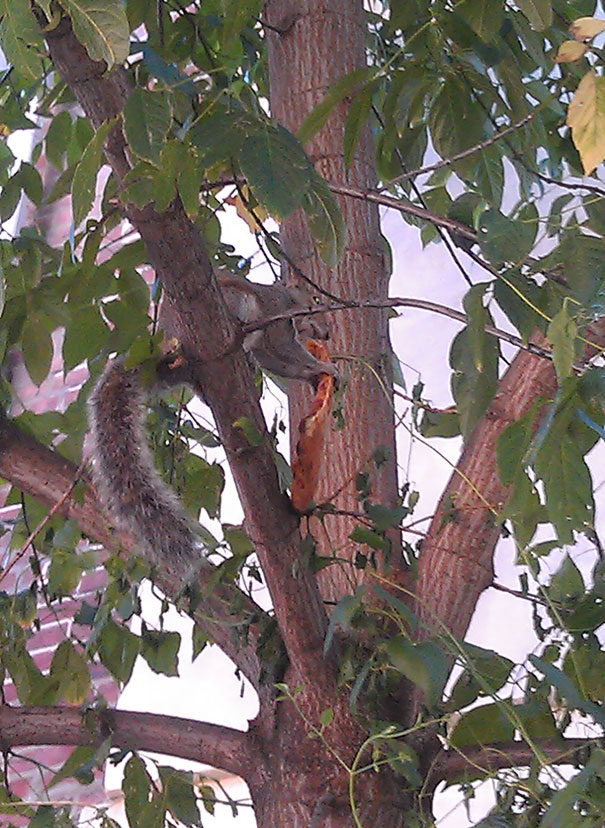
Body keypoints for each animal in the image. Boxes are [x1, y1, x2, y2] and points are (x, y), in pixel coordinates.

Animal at [87, 274, 336, 575]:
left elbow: (281, 364)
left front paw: (314, 376)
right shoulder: (276, 319)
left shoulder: (267, 345)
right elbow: (287, 351)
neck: (287, 302)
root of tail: (168, 348)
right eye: (315, 299)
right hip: (233, 302)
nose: (326, 334)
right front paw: (323, 368)